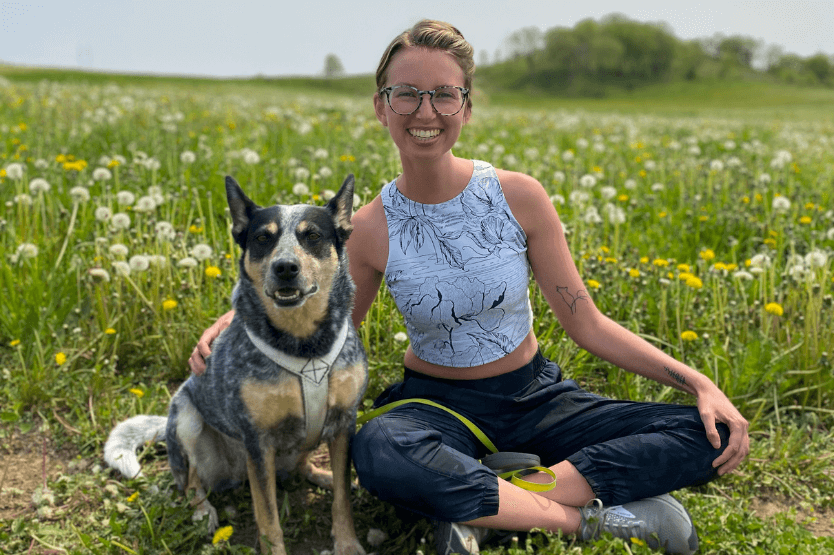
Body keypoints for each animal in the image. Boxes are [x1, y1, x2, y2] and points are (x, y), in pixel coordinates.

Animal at [103, 176, 368, 555]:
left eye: (312, 235)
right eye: (263, 238)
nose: (285, 267)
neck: (304, 345)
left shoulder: (346, 422)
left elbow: (343, 499)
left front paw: (347, 542)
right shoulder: (257, 441)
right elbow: (269, 519)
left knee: (305, 467)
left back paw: (323, 475)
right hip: (187, 420)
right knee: (192, 483)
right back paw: (203, 513)